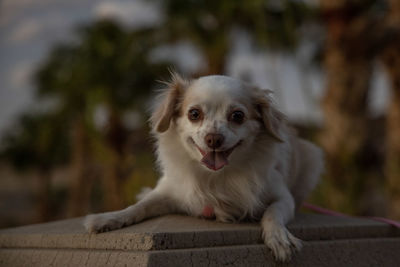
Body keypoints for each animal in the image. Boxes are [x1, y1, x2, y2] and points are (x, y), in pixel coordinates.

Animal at [83, 73, 324, 262]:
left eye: (238, 116)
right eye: (194, 114)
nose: (213, 138)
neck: (216, 176)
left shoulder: (284, 198)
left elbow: (272, 213)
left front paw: (280, 238)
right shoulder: (169, 192)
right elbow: (140, 207)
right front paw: (108, 219)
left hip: (313, 159)